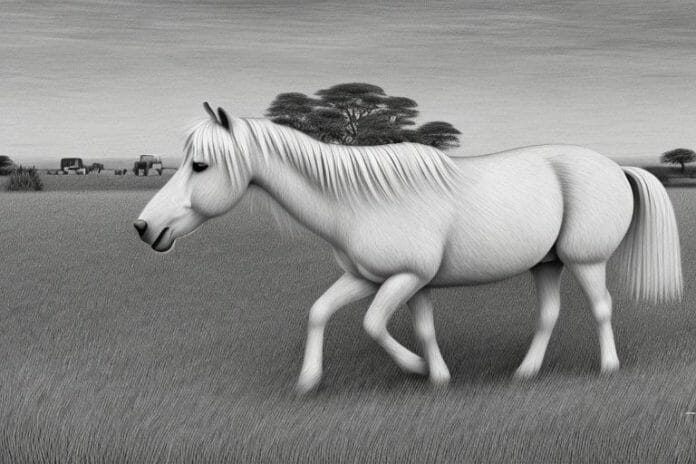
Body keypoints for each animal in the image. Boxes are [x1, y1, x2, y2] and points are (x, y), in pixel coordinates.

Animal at [135, 102, 682, 393]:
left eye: (200, 166)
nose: (144, 227)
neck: (360, 201)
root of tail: (616, 166)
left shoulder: (402, 279)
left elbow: (374, 325)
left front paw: (418, 369)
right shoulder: (380, 279)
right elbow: (326, 313)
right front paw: (312, 380)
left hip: (585, 261)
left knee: (601, 307)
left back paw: (607, 369)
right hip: (545, 264)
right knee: (548, 314)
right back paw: (524, 373)